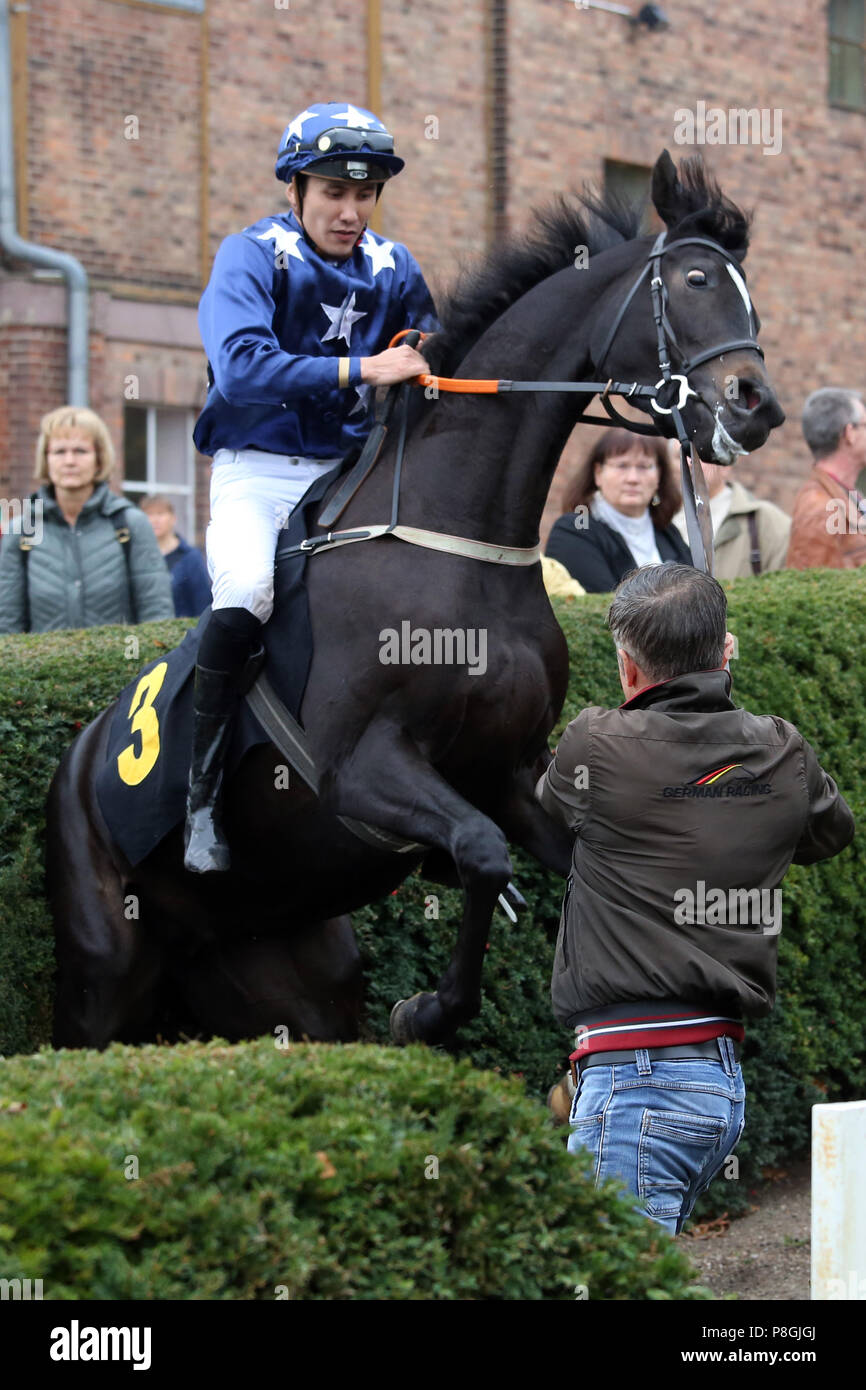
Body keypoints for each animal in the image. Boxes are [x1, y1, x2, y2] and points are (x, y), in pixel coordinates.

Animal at [50, 152, 789, 1045]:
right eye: (694, 278)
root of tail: (79, 757)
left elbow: (555, 857)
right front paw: (430, 1007)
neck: (454, 544)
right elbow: (479, 849)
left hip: (295, 979)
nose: (757, 404)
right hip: (102, 974)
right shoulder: (360, 768)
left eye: (747, 289)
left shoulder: (509, 770)